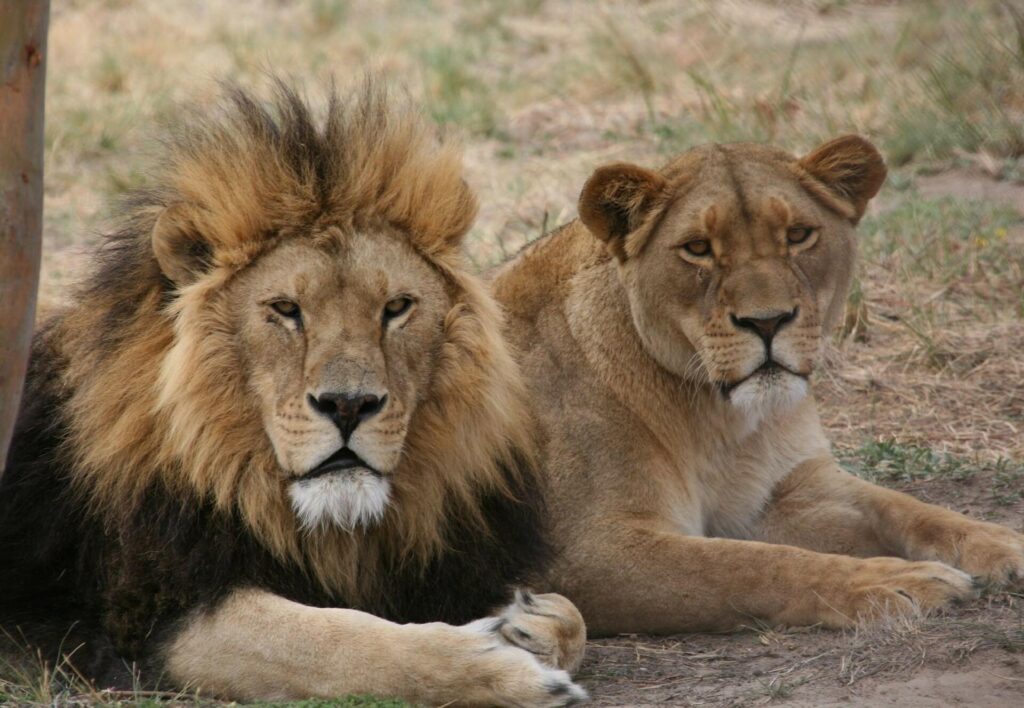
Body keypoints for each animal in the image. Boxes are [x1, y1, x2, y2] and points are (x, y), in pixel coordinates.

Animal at [0, 79, 587, 706]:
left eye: (397, 308)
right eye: (286, 309)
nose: (349, 405)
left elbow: (573, 614)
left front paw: (530, 619)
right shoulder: (154, 616)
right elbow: (339, 640)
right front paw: (503, 669)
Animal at [492, 135, 1024, 635]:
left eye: (798, 235)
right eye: (698, 248)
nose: (767, 322)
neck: (720, 420)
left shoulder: (783, 492)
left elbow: (907, 507)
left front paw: (1002, 543)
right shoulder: (583, 552)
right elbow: (750, 566)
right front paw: (893, 580)